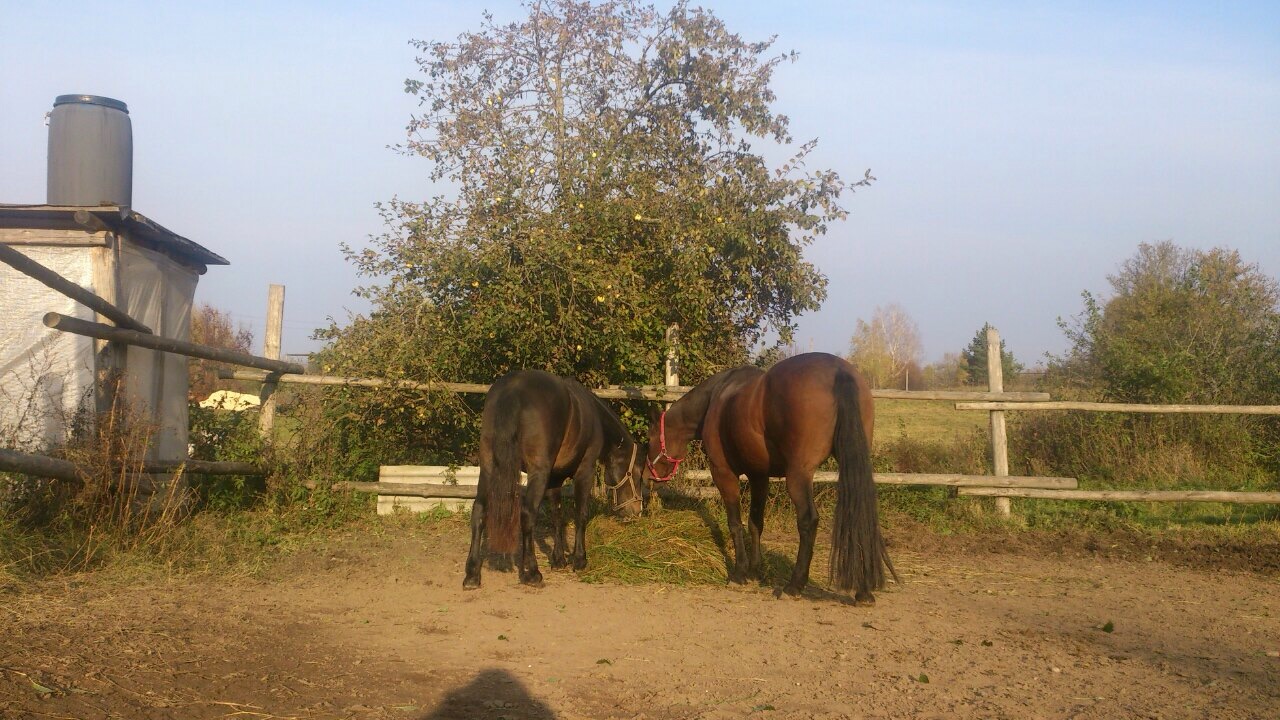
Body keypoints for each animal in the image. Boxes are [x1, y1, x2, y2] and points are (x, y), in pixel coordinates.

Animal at [464, 369, 644, 589]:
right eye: (637, 473)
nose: (637, 510)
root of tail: (513, 389)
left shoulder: (554, 479)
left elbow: (557, 516)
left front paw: (558, 560)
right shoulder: (585, 471)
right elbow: (580, 514)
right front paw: (579, 559)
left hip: (488, 468)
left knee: (479, 511)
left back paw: (472, 575)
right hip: (537, 472)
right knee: (527, 514)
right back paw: (532, 573)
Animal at [644, 352, 896, 602]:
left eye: (649, 439)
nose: (646, 477)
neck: (716, 398)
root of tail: (839, 371)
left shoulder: (723, 473)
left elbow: (735, 523)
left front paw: (739, 573)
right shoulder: (759, 476)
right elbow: (756, 523)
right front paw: (755, 571)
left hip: (798, 475)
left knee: (808, 520)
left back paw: (794, 586)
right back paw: (863, 591)